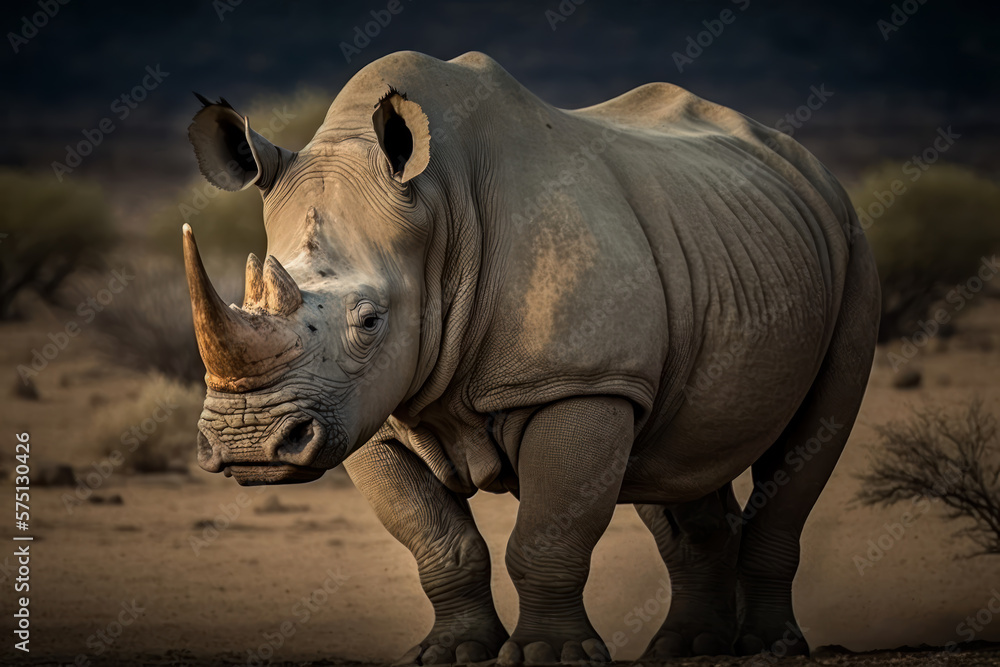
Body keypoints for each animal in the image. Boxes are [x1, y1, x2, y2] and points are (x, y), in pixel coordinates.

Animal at [184, 51, 879, 664]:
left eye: (370, 321)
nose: (248, 444)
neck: (440, 217)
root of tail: (807, 165)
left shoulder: (578, 381)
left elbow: (547, 533)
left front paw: (552, 654)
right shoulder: (365, 410)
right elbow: (439, 542)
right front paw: (455, 653)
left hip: (849, 241)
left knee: (811, 439)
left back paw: (767, 647)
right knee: (674, 460)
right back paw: (690, 648)